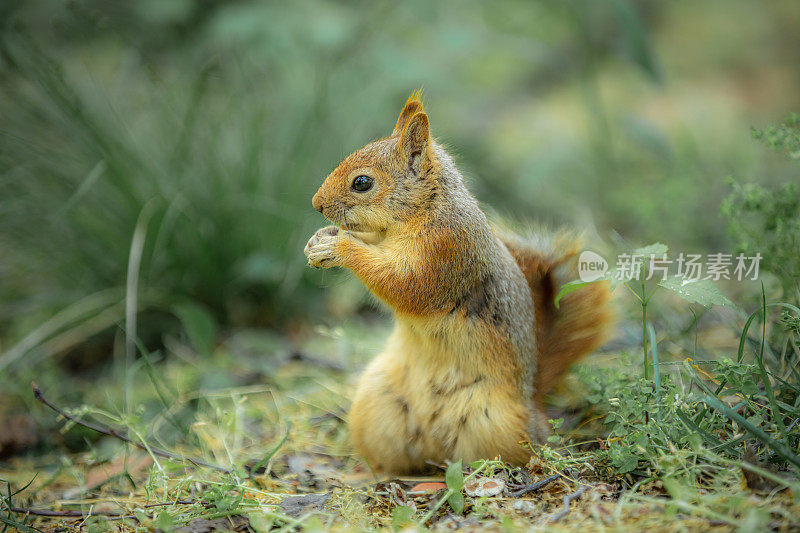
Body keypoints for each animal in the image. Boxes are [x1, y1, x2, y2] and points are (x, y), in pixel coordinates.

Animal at [304, 93, 612, 472]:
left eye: (362, 182)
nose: (317, 204)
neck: (426, 208)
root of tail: (533, 400)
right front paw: (320, 240)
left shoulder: (446, 249)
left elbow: (404, 284)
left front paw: (340, 247)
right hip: (376, 405)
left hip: (493, 421)